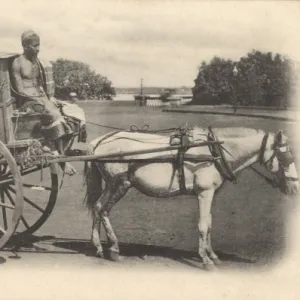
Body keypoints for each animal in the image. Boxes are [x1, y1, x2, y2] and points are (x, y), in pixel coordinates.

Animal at [83, 125, 298, 270]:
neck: (213, 151)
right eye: (286, 158)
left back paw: (99, 247)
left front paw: (212, 255)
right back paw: (112, 249)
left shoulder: (211, 193)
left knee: (98, 209)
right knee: (101, 208)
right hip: (118, 184)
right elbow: (203, 225)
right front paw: (205, 259)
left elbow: (209, 223)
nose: (295, 188)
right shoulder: (204, 193)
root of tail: (99, 142)